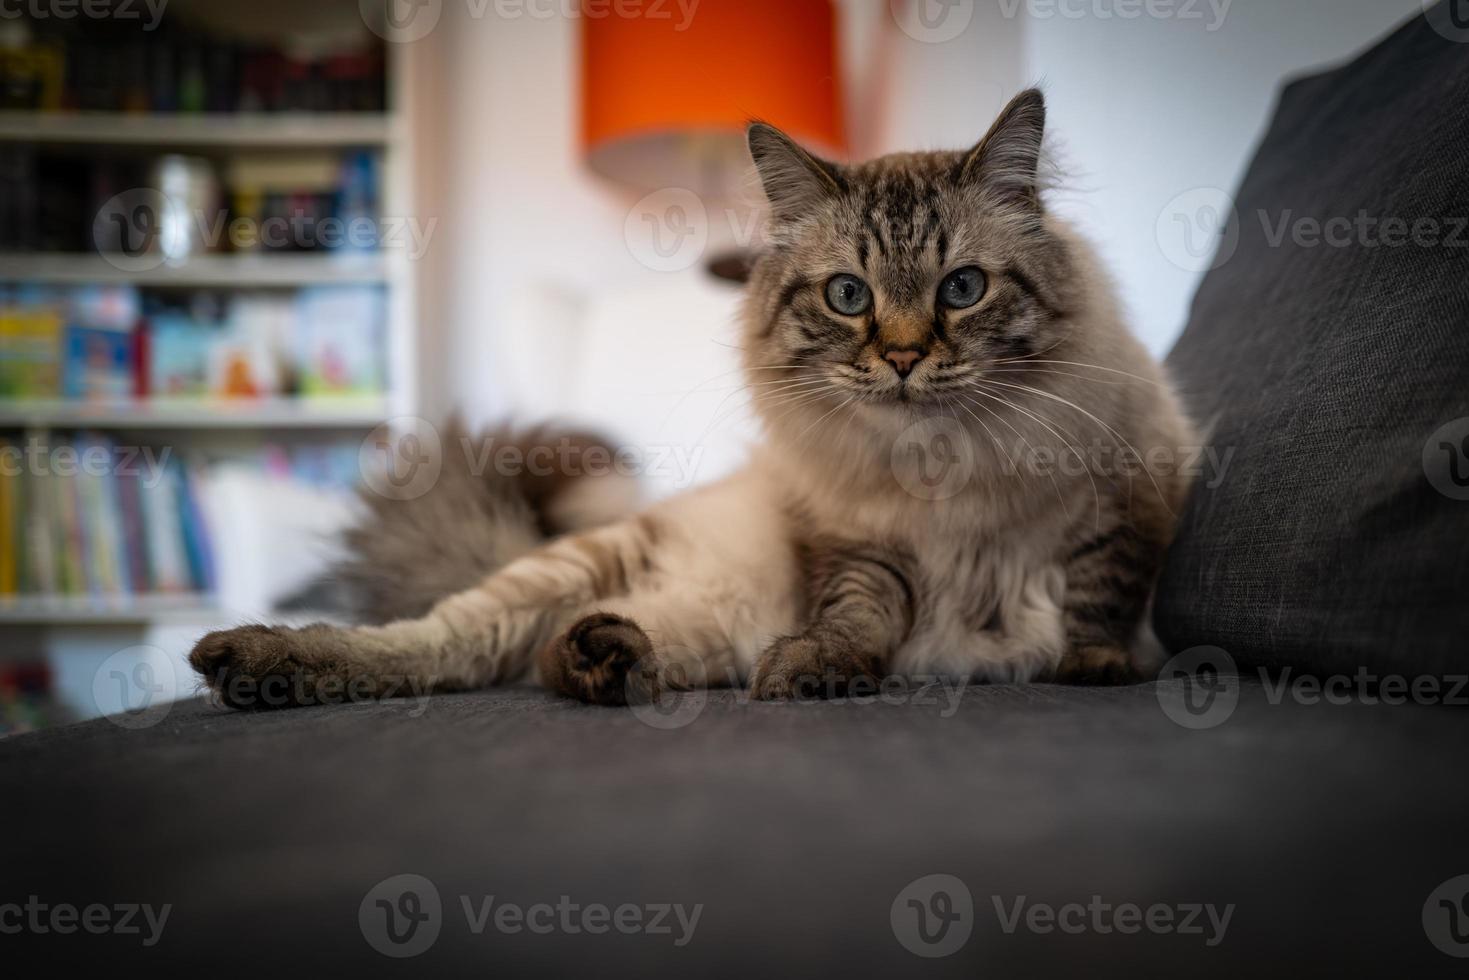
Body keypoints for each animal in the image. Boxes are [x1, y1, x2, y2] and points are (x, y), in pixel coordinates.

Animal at [186, 88, 1192, 708]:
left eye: (962, 290)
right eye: (848, 297)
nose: (904, 357)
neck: (944, 469)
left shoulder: (1132, 492)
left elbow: (1100, 592)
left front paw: (1093, 668)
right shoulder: (853, 544)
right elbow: (859, 614)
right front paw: (818, 670)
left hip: (687, 628)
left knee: (542, 662)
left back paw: (605, 657)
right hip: (573, 568)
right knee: (437, 647)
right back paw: (256, 665)